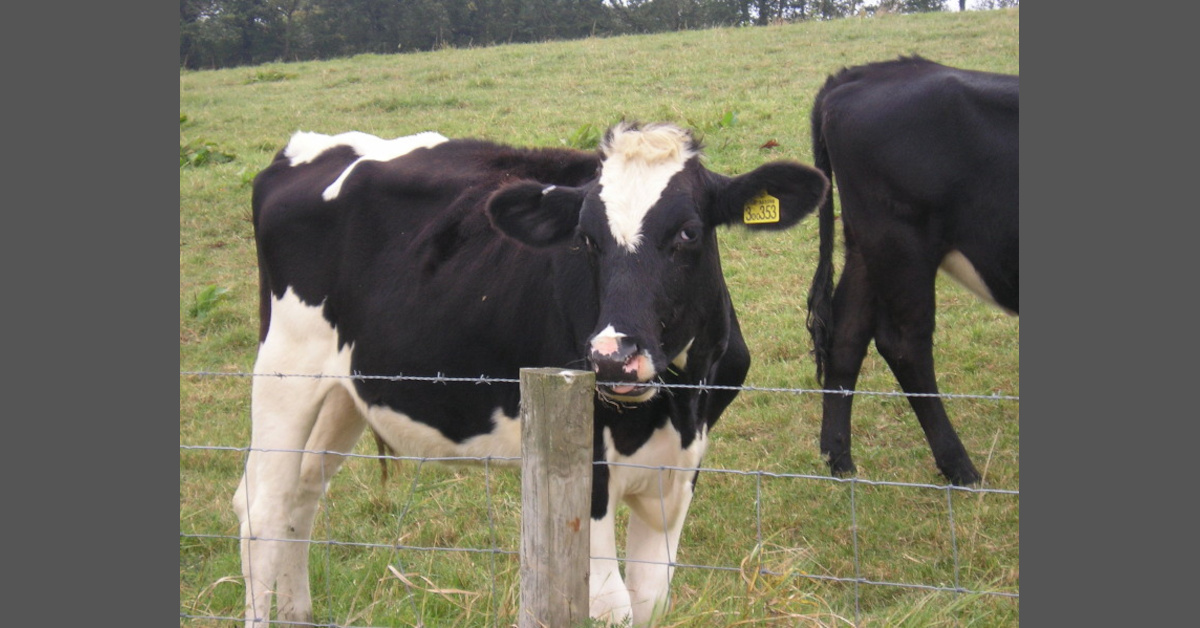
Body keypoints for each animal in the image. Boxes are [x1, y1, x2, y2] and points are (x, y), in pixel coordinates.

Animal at [235, 121, 829, 627]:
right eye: (586, 239)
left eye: (688, 233)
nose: (613, 357)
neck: (674, 403)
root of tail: (302, 149)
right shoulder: (586, 471)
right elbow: (610, 603)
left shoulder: (680, 468)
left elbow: (650, 598)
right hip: (285, 373)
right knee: (261, 510)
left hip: (340, 395)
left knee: (301, 497)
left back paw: (298, 615)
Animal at [805, 56, 1018, 486]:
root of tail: (864, 73)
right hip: (902, 243)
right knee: (905, 345)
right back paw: (961, 468)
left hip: (866, 245)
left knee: (847, 336)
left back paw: (840, 461)